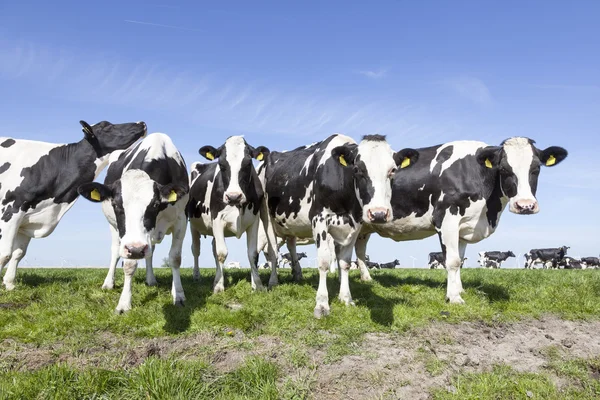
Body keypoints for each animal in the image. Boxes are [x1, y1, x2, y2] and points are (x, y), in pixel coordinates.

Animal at [0, 119, 145, 290]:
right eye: (106, 126)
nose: (141, 122)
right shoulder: (11, 209)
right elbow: (5, 253)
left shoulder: (30, 218)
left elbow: (18, 253)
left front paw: (9, 284)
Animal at [78, 134, 188, 312]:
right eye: (116, 204)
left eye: (155, 204)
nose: (136, 249)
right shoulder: (127, 238)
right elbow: (129, 264)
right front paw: (124, 303)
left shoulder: (181, 220)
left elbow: (175, 258)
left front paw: (178, 295)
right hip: (114, 227)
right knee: (115, 251)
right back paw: (108, 283)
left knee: (150, 252)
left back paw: (151, 280)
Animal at [188, 137, 272, 294]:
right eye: (221, 164)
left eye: (248, 163)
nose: (233, 196)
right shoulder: (217, 220)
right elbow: (222, 253)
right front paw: (218, 286)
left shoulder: (254, 221)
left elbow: (252, 254)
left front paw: (257, 284)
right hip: (193, 225)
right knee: (196, 249)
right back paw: (197, 276)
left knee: (213, 248)